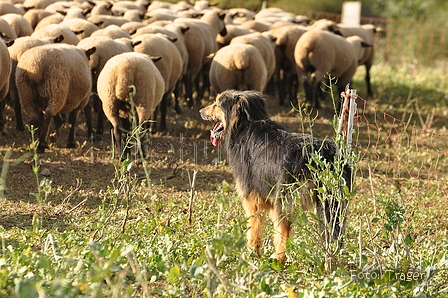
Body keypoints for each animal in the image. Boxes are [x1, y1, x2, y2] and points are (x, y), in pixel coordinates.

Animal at [200, 88, 354, 264]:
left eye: (217, 104)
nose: (200, 111)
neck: (244, 124)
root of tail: (322, 154)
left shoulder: (252, 196)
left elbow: (255, 225)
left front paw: (252, 251)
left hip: (285, 197)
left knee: (284, 228)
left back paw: (279, 257)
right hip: (333, 201)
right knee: (335, 230)